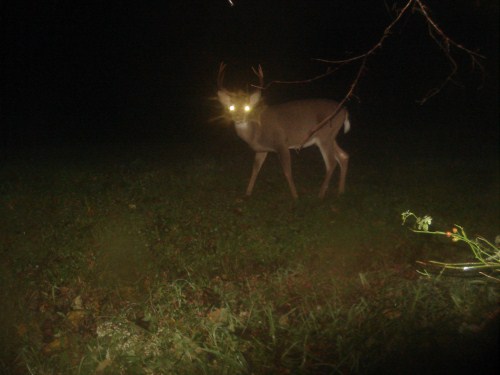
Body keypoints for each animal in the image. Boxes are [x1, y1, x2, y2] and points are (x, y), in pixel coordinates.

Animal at [217, 64, 350, 200]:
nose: (238, 117)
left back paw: (321, 194)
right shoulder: (262, 149)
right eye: (231, 107)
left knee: (332, 162)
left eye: (247, 107)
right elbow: (255, 169)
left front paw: (295, 196)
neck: (256, 132)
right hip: (331, 136)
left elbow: (287, 171)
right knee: (343, 156)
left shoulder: (282, 143)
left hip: (325, 135)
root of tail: (344, 111)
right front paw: (247, 193)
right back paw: (341, 191)